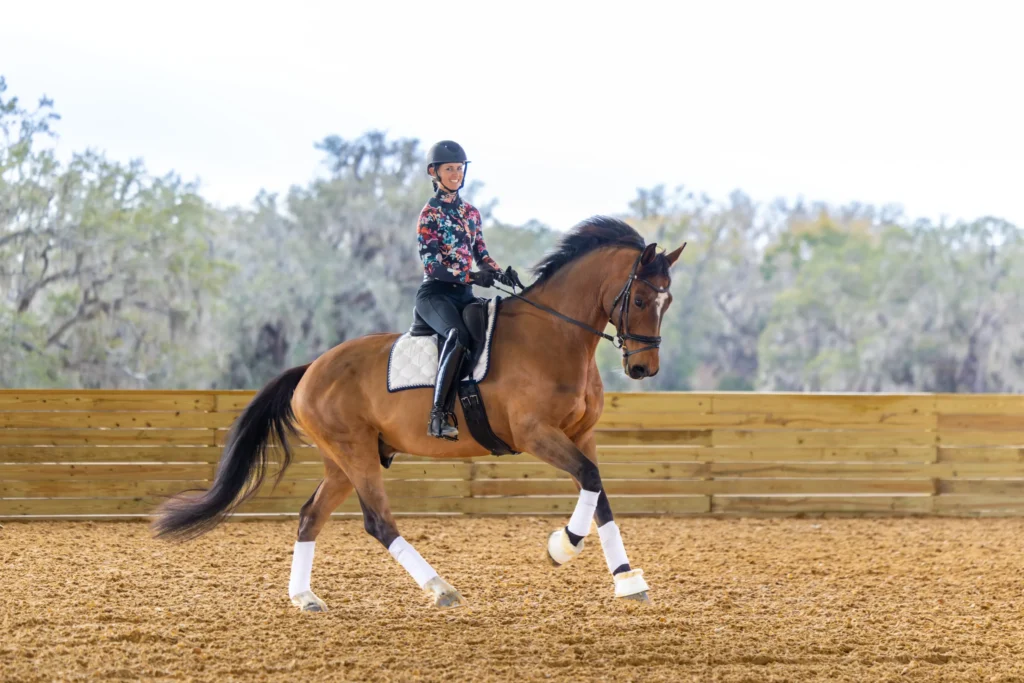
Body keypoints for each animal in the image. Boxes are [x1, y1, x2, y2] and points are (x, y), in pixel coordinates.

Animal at [153, 216, 686, 611]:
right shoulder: (535, 433)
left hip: (344, 461)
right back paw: (440, 588)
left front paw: (627, 580)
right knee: (378, 523)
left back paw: (305, 596)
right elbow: (590, 483)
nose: (643, 368)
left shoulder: (582, 433)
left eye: (668, 301)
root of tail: (311, 370)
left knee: (310, 516)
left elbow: (599, 493)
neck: (554, 335)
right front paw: (562, 546)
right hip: (356, 454)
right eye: (640, 297)